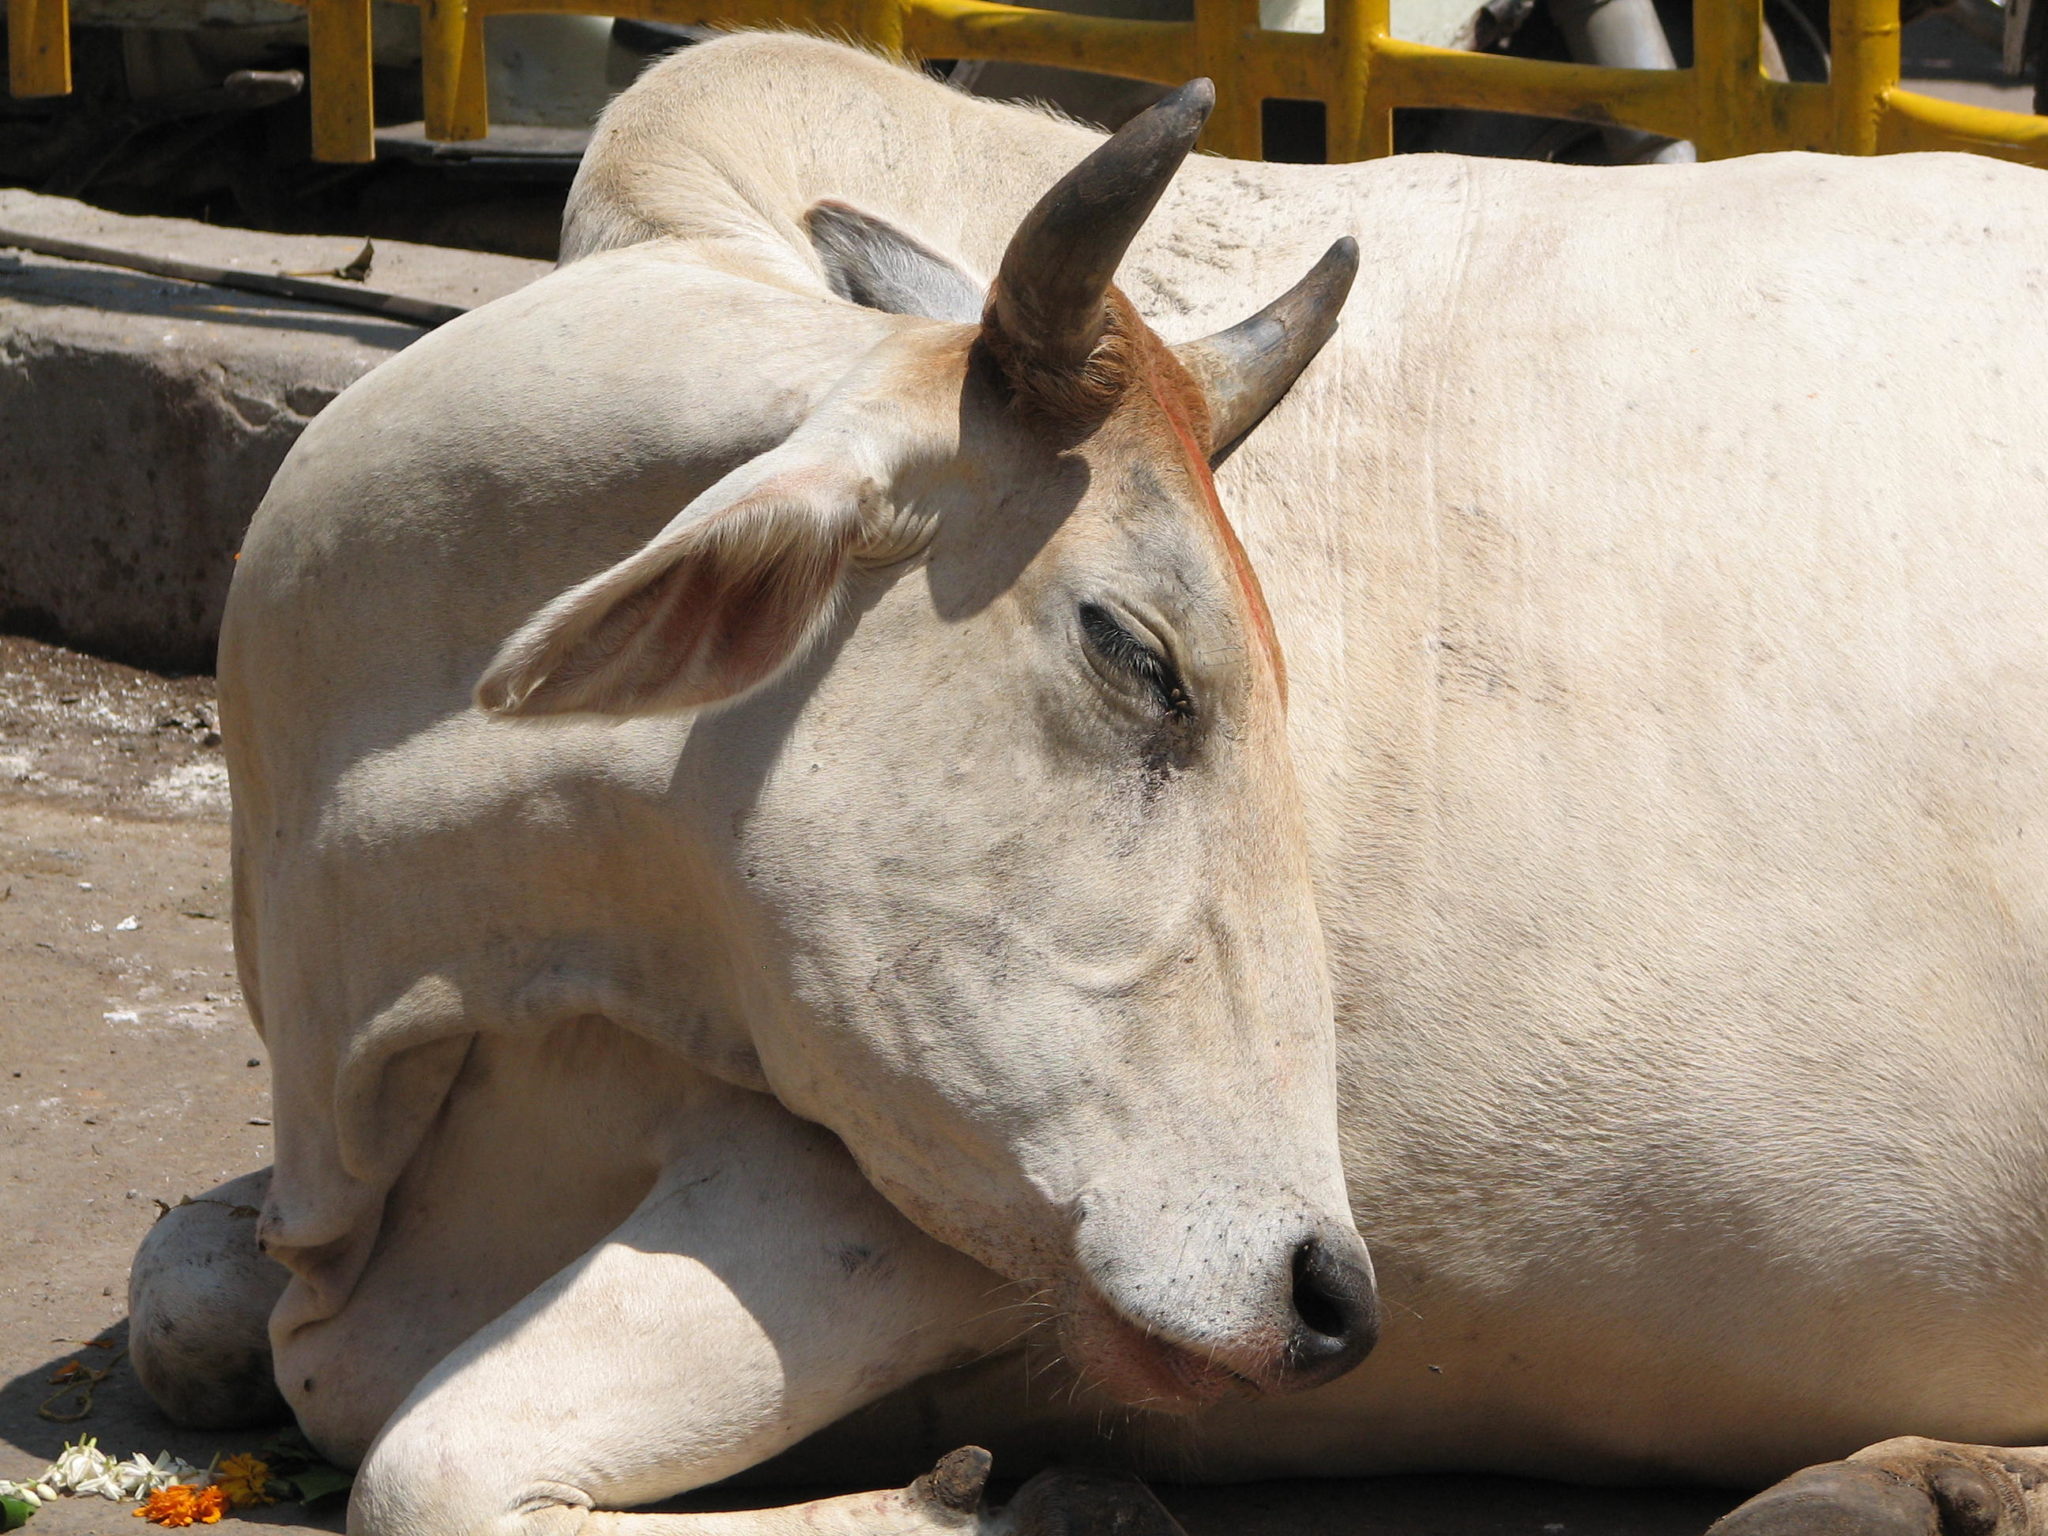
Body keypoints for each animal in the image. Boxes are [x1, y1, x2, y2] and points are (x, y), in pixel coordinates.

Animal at [136, 30, 2048, 1536]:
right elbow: (179, 1301)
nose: (1333, 1294)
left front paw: (993, 1493)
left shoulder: (916, 1208)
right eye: (1139, 655)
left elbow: (430, 1464)